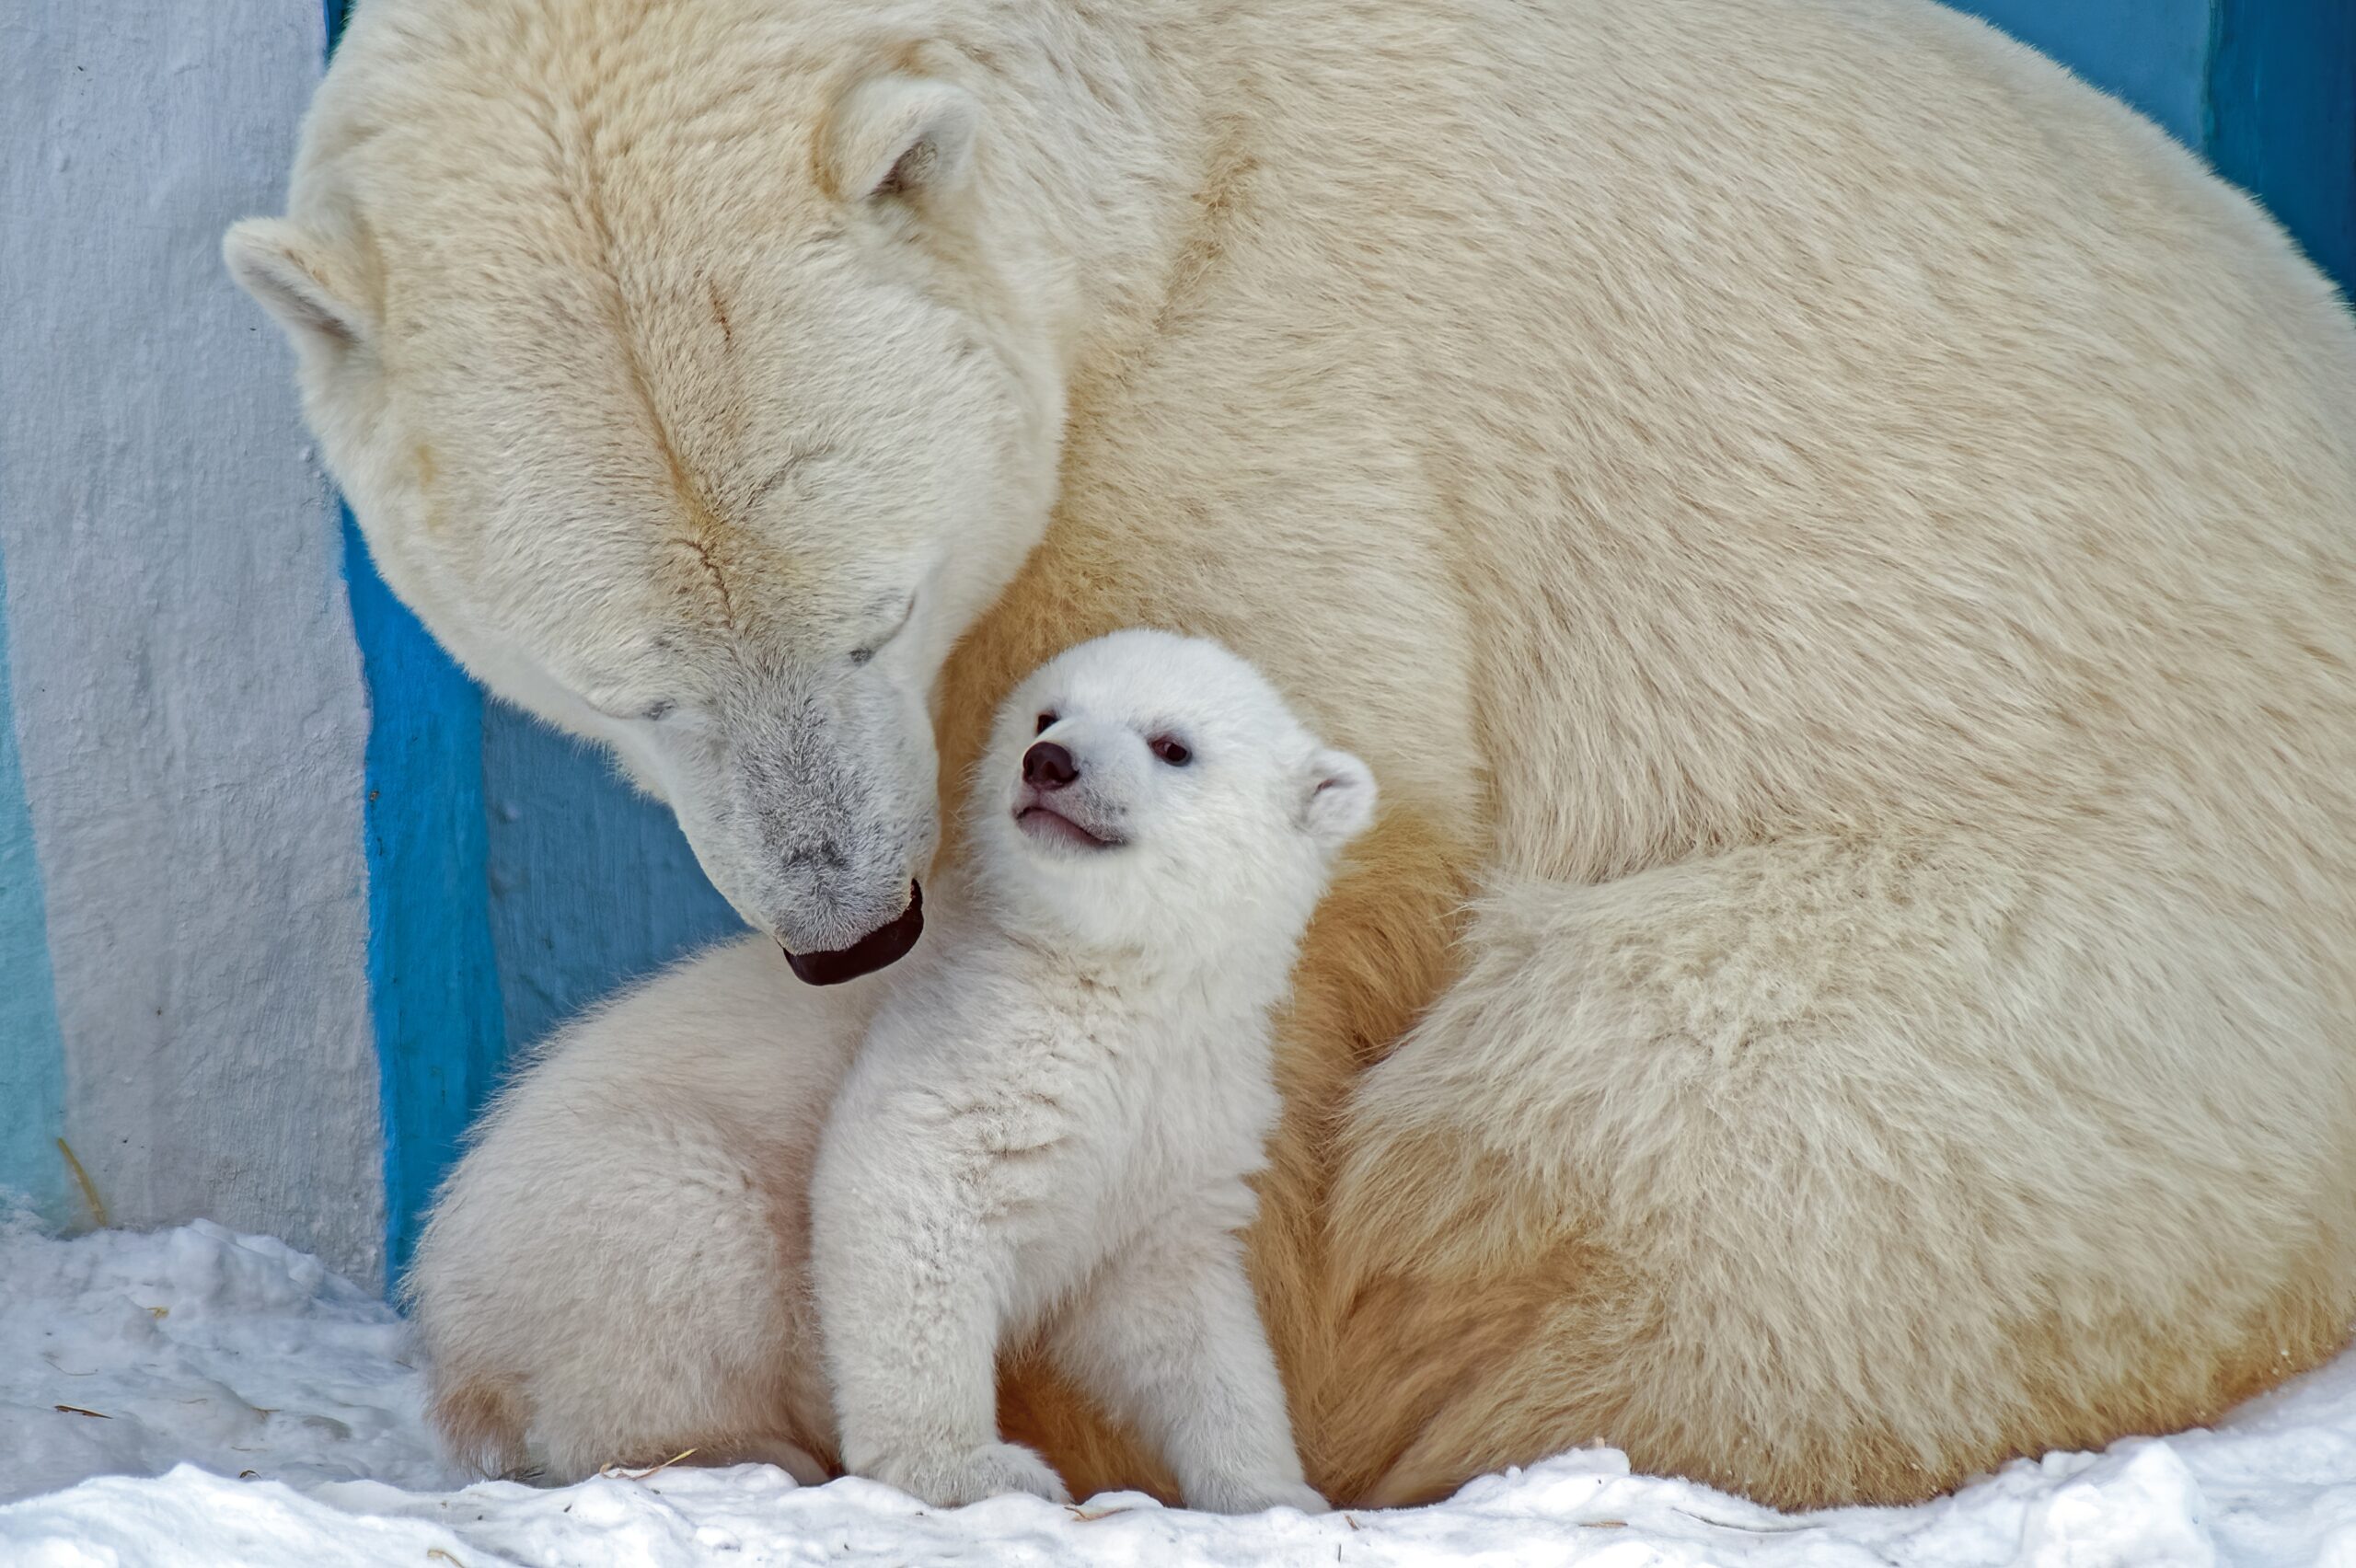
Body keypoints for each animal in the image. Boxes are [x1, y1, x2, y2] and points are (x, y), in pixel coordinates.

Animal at [229, 0, 2356, 1506]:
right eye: (626, 682)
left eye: (876, 611)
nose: (846, 930)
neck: (1167, 128)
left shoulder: (1275, 381)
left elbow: (1328, 881)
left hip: (2083, 1010)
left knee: (1628, 1104)